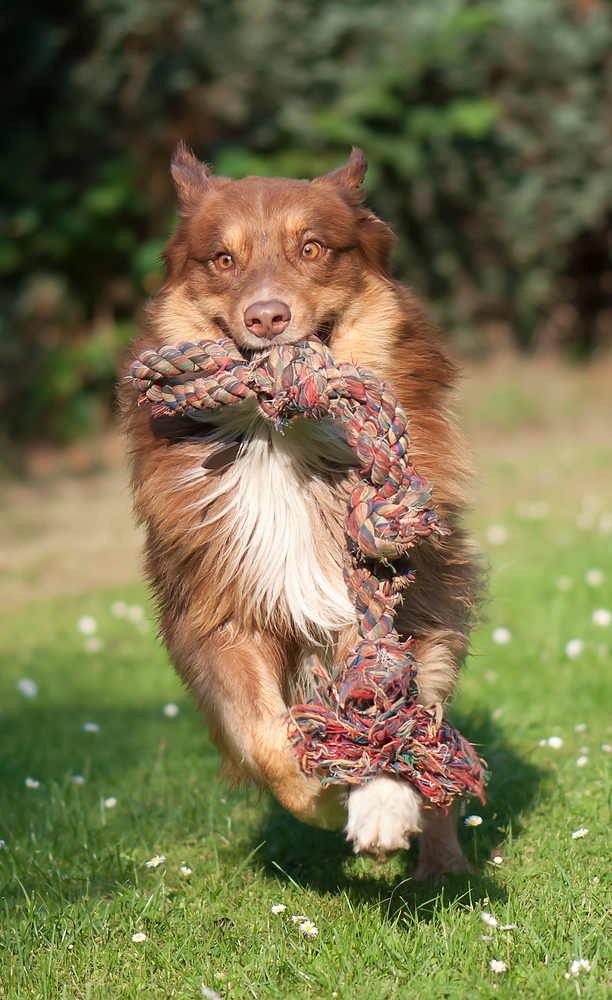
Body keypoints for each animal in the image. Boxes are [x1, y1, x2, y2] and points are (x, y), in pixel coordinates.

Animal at [122, 145, 480, 880]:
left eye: (311, 248)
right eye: (222, 259)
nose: (266, 317)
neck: (281, 437)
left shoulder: (400, 595)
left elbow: (391, 706)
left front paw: (381, 802)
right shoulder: (218, 610)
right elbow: (266, 737)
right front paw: (320, 791)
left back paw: (441, 862)